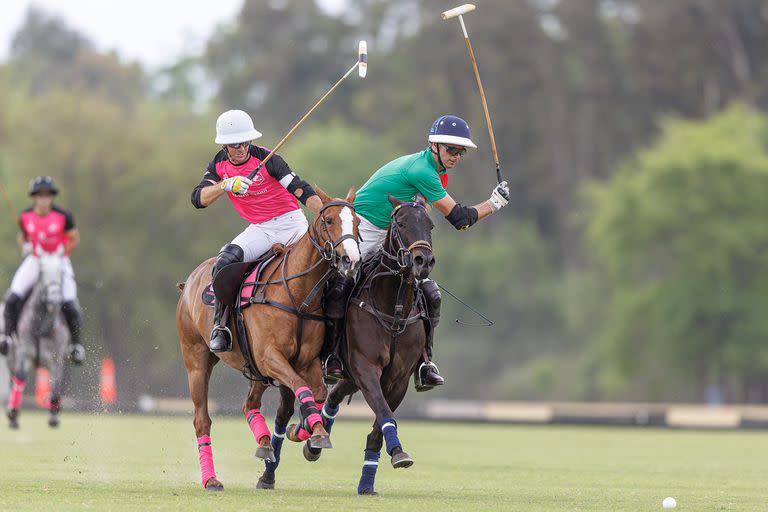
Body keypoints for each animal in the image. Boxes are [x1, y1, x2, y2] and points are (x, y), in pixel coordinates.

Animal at [5, 248, 72, 428]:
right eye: (41, 271)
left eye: (62, 273)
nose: (55, 299)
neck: (41, 326)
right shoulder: (23, 354)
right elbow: (20, 377)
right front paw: (13, 413)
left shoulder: (56, 359)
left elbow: (56, 384)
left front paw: (54, 415)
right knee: (13, 379)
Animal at [176, 186, 362, 490]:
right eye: (329, 220)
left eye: (356, 222)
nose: (351, 260)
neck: (298, 295)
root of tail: (189, 281)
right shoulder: (270, 356)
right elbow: (301, 386)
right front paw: (312, 432)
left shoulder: (306, 360)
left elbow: (317, 393)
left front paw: (306, 431)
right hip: (196, 360)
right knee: (201, 420)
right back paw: (211, 479)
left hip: (254, 369)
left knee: (249, 404)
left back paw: (264, 442)